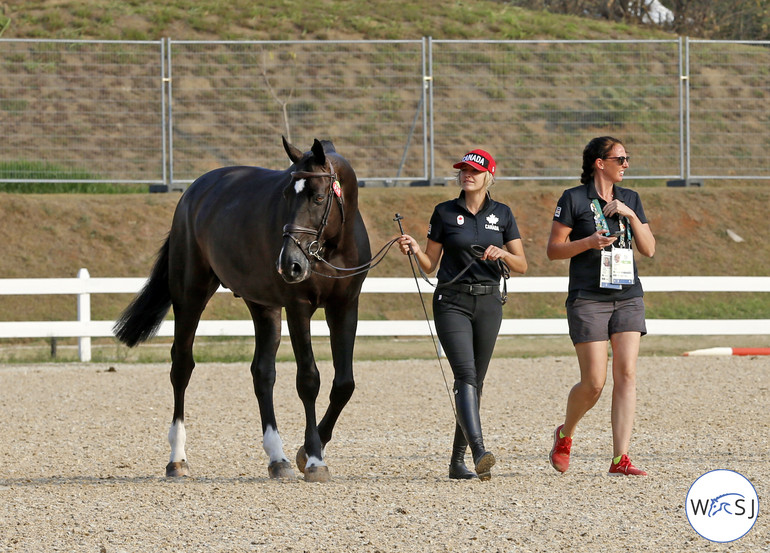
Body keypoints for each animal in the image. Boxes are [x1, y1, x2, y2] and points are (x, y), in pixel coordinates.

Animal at [111, 139, 368, 484]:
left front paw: (305, 452)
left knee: (263, 373)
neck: (333, 248)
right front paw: (314, 459)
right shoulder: (298, 308)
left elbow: (343, 384)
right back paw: (177, 459)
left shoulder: (345, 307)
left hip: (263, 306)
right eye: (285, 195)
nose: (289, 264)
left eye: (318, 196)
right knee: (182, 366)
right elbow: (308, 380)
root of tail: (194, 191)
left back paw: (278, 458)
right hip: (190, 295)